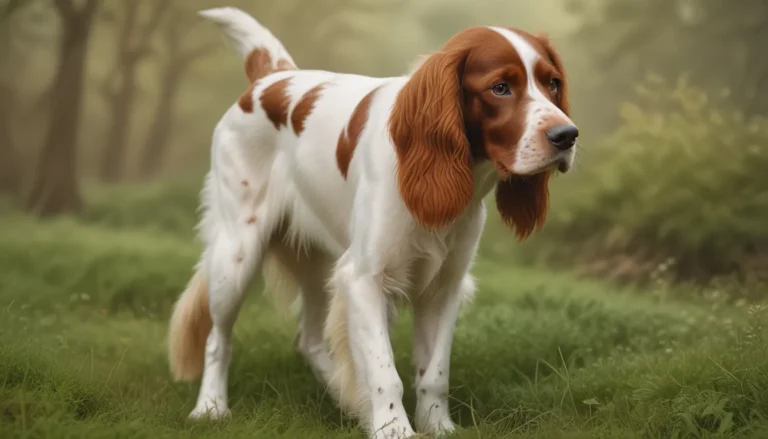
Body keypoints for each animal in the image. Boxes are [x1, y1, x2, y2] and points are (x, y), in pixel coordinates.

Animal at [168, 6, 576, 439]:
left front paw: (437, 426)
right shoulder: (364, 278)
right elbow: (385, 372)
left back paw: (344, 396)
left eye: (552, 83)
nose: (567, 135)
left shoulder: (444, 286)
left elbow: (434, 372)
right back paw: (211, 407)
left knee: (310, 339)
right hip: (237, 254)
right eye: (500, 87)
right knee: (218, 339)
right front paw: (393, 428)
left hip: (316, 265)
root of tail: (272, 76)